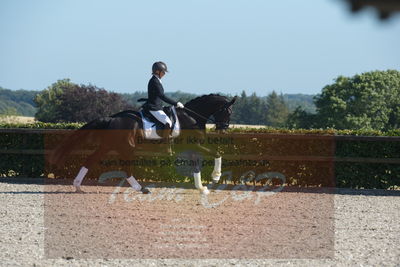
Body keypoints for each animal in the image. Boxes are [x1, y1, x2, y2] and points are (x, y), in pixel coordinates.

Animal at [50, 94, 238, 195]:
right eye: (227, 112)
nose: (223, 130)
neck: (191, 117)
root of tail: (112, 118)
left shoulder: (192, 148)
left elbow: (197, 165)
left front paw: (201, 188)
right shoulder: (195, 146)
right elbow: (216, 153)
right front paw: (215, 177)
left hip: (109, 146)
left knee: (91, 160)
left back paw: (78, 186)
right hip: (126, 148)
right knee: (126, 169)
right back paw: (141, 188)